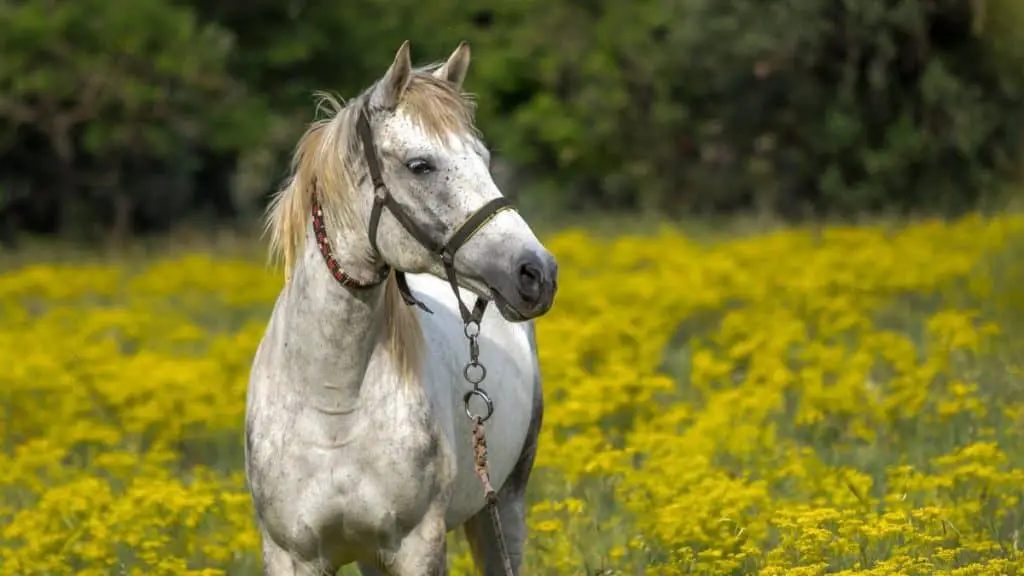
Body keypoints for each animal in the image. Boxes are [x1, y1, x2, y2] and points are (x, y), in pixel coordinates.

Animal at [242, 41, 557, 573]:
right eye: (420, 165)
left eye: (484, 158)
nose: (537, 274)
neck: (333, 404)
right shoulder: (292, 553)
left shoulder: (417, 545)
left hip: (505, 505)